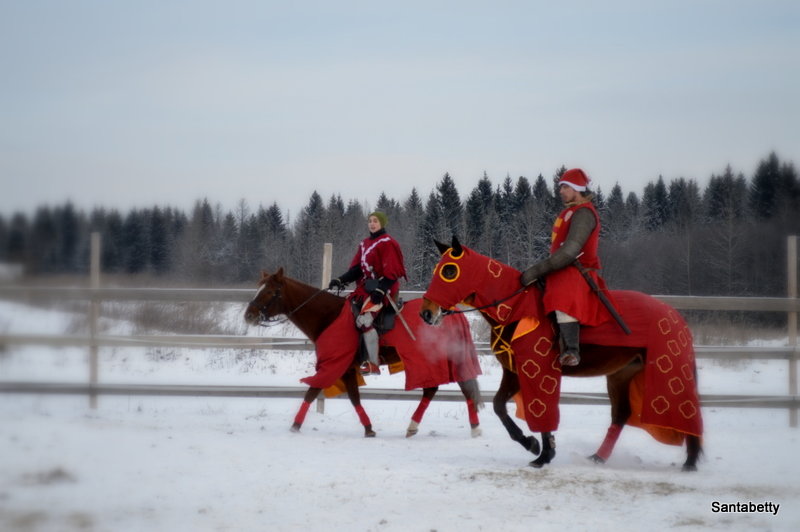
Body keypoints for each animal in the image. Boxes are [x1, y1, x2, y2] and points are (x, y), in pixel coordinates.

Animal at [242, 268, 482, 438]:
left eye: (270, 292)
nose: (249, 315)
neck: (329, 316)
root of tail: (453, 313)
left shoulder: (333, 364)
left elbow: (312, 391)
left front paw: (294, 426)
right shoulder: (347, 369)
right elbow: (353, 397)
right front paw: (368, 429)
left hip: (434, 360)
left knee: (454, 388)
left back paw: (471, 428)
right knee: (442, 389)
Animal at [418, 239, 700, 472]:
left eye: (449, 271)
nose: (426, 313)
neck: (517, 309)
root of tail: (674, 315)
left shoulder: (539, 370)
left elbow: (542, 409)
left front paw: (544, 454)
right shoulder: (515, 371)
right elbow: (499, 406)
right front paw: (532, 444)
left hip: (667, 372)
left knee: (687, 412)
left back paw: (691, 461)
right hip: (621, 374)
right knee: (621, 414)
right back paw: (598, 457)